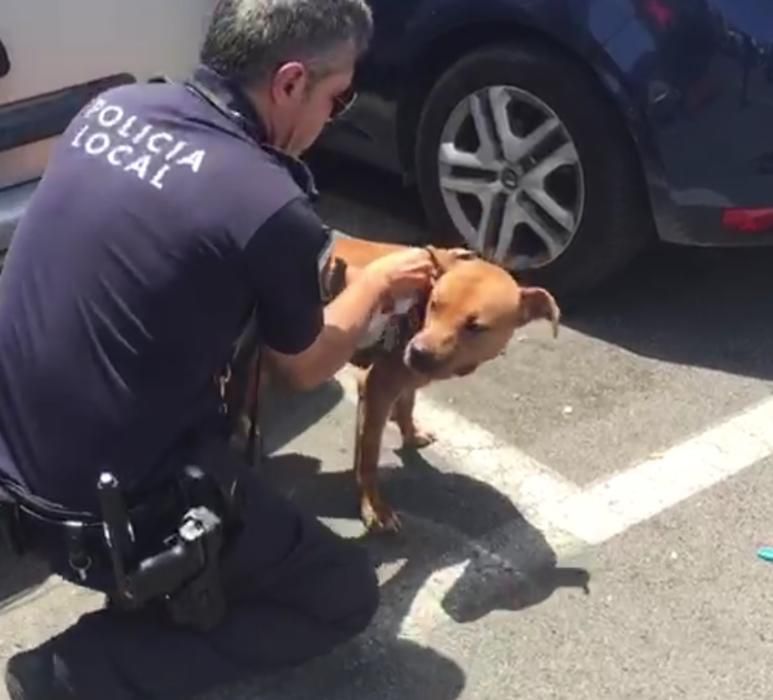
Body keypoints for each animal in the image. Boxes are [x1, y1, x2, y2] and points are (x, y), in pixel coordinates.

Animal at [247, 238, 560, 532]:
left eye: (476, 327)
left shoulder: (405, 379)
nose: (419, 352)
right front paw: (374, 506)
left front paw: (410, 432)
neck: (416, 306)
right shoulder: (376, 389)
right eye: (436, 304)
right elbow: (369, 456)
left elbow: (408, 403)